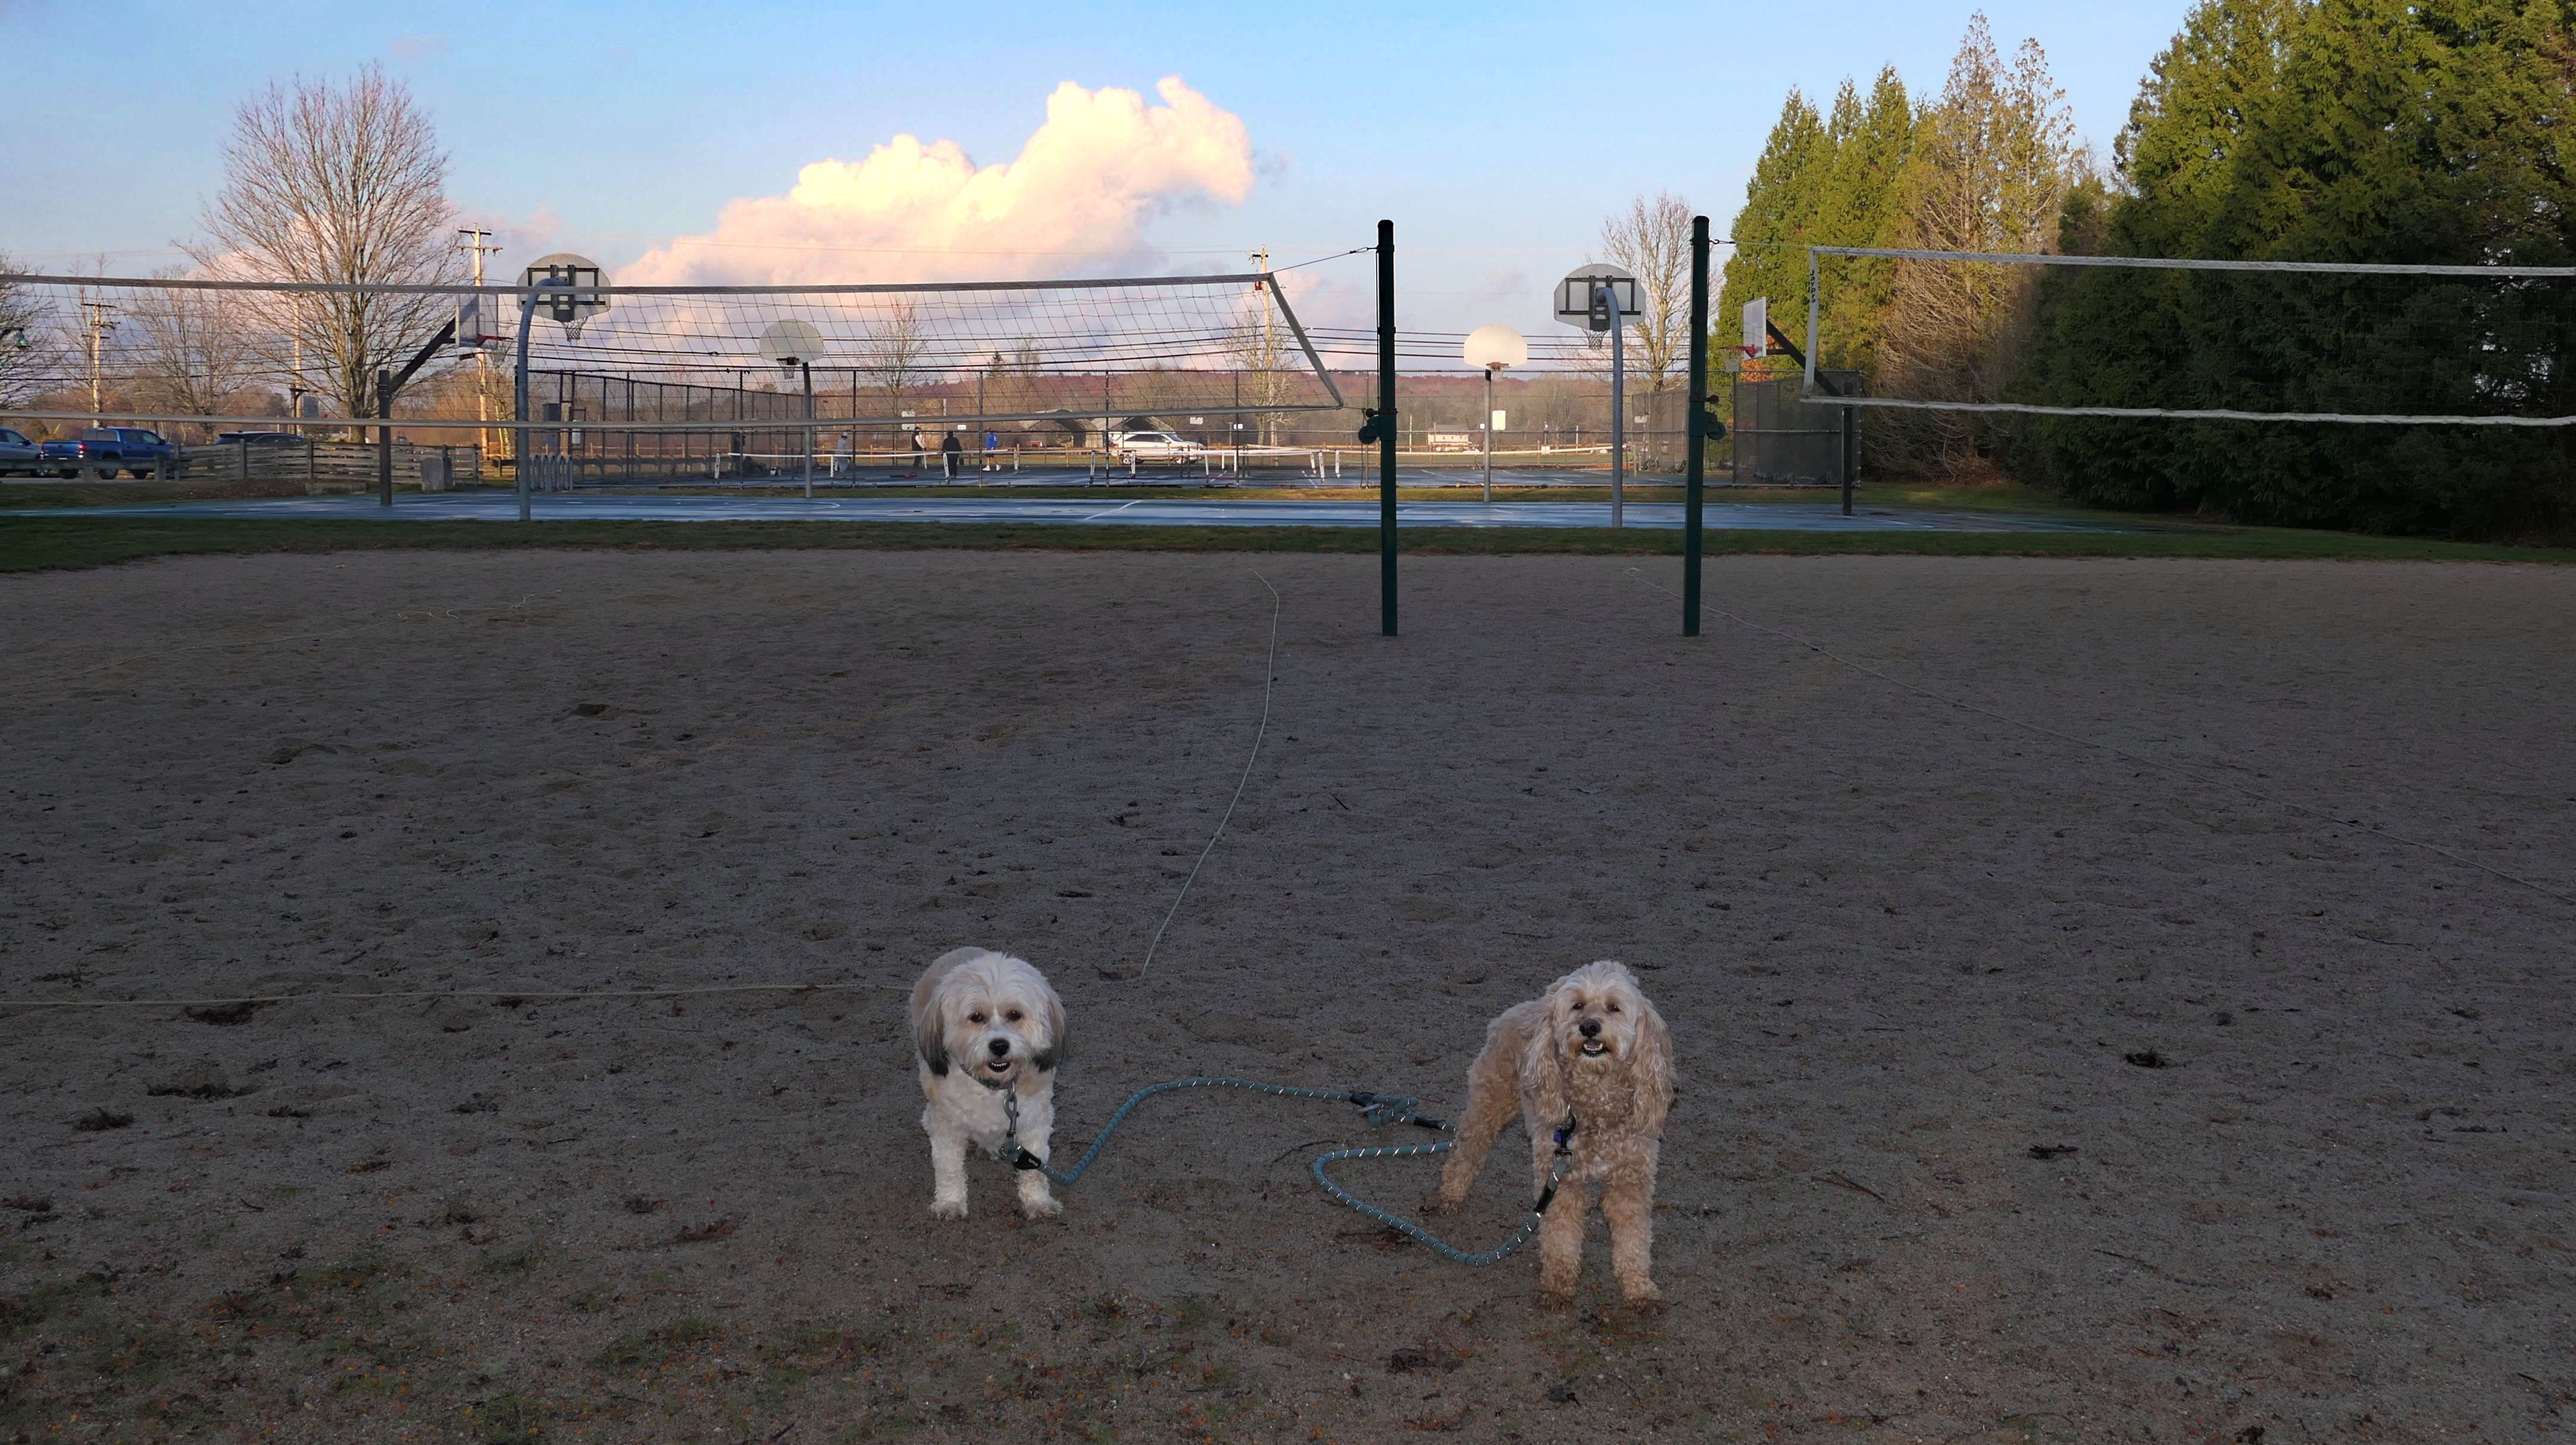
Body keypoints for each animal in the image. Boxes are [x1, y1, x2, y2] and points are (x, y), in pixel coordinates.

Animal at [910, 947, 1067, 1220]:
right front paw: (950, 1202)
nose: (999, 1045)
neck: (992, 1087)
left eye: (1015, 1015)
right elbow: (949, 1169)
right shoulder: (946, 1126)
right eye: (976, 1017)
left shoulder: (1034, 1123)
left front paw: (1038, 1202)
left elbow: (1034, 1171)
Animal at [1427, 959, 1673, 1305]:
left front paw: (1639, 1288)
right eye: (1578, 1006)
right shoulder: (1563, 1180)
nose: (1590, 1027)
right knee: (1465, 1150)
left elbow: (1634, 1239)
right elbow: (1560, 1235)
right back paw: (1449, 1196)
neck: (1597, 1099)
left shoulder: (1631, 1181)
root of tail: (1523, 1007)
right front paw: (1557, 1285)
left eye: (1614, 1008)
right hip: (1489, 1106)